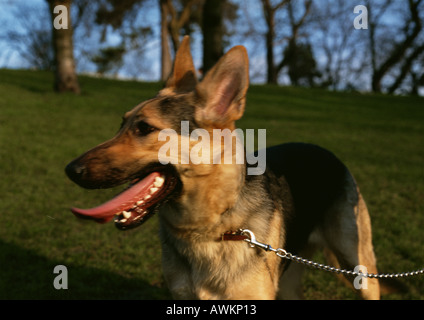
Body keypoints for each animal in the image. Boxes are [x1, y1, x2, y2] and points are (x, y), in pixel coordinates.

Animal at [67, 37, 380, 300]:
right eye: (121, 124)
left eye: (144, 128)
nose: (70, 169)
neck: (209, 228)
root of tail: (323, 150)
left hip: (360, 268)